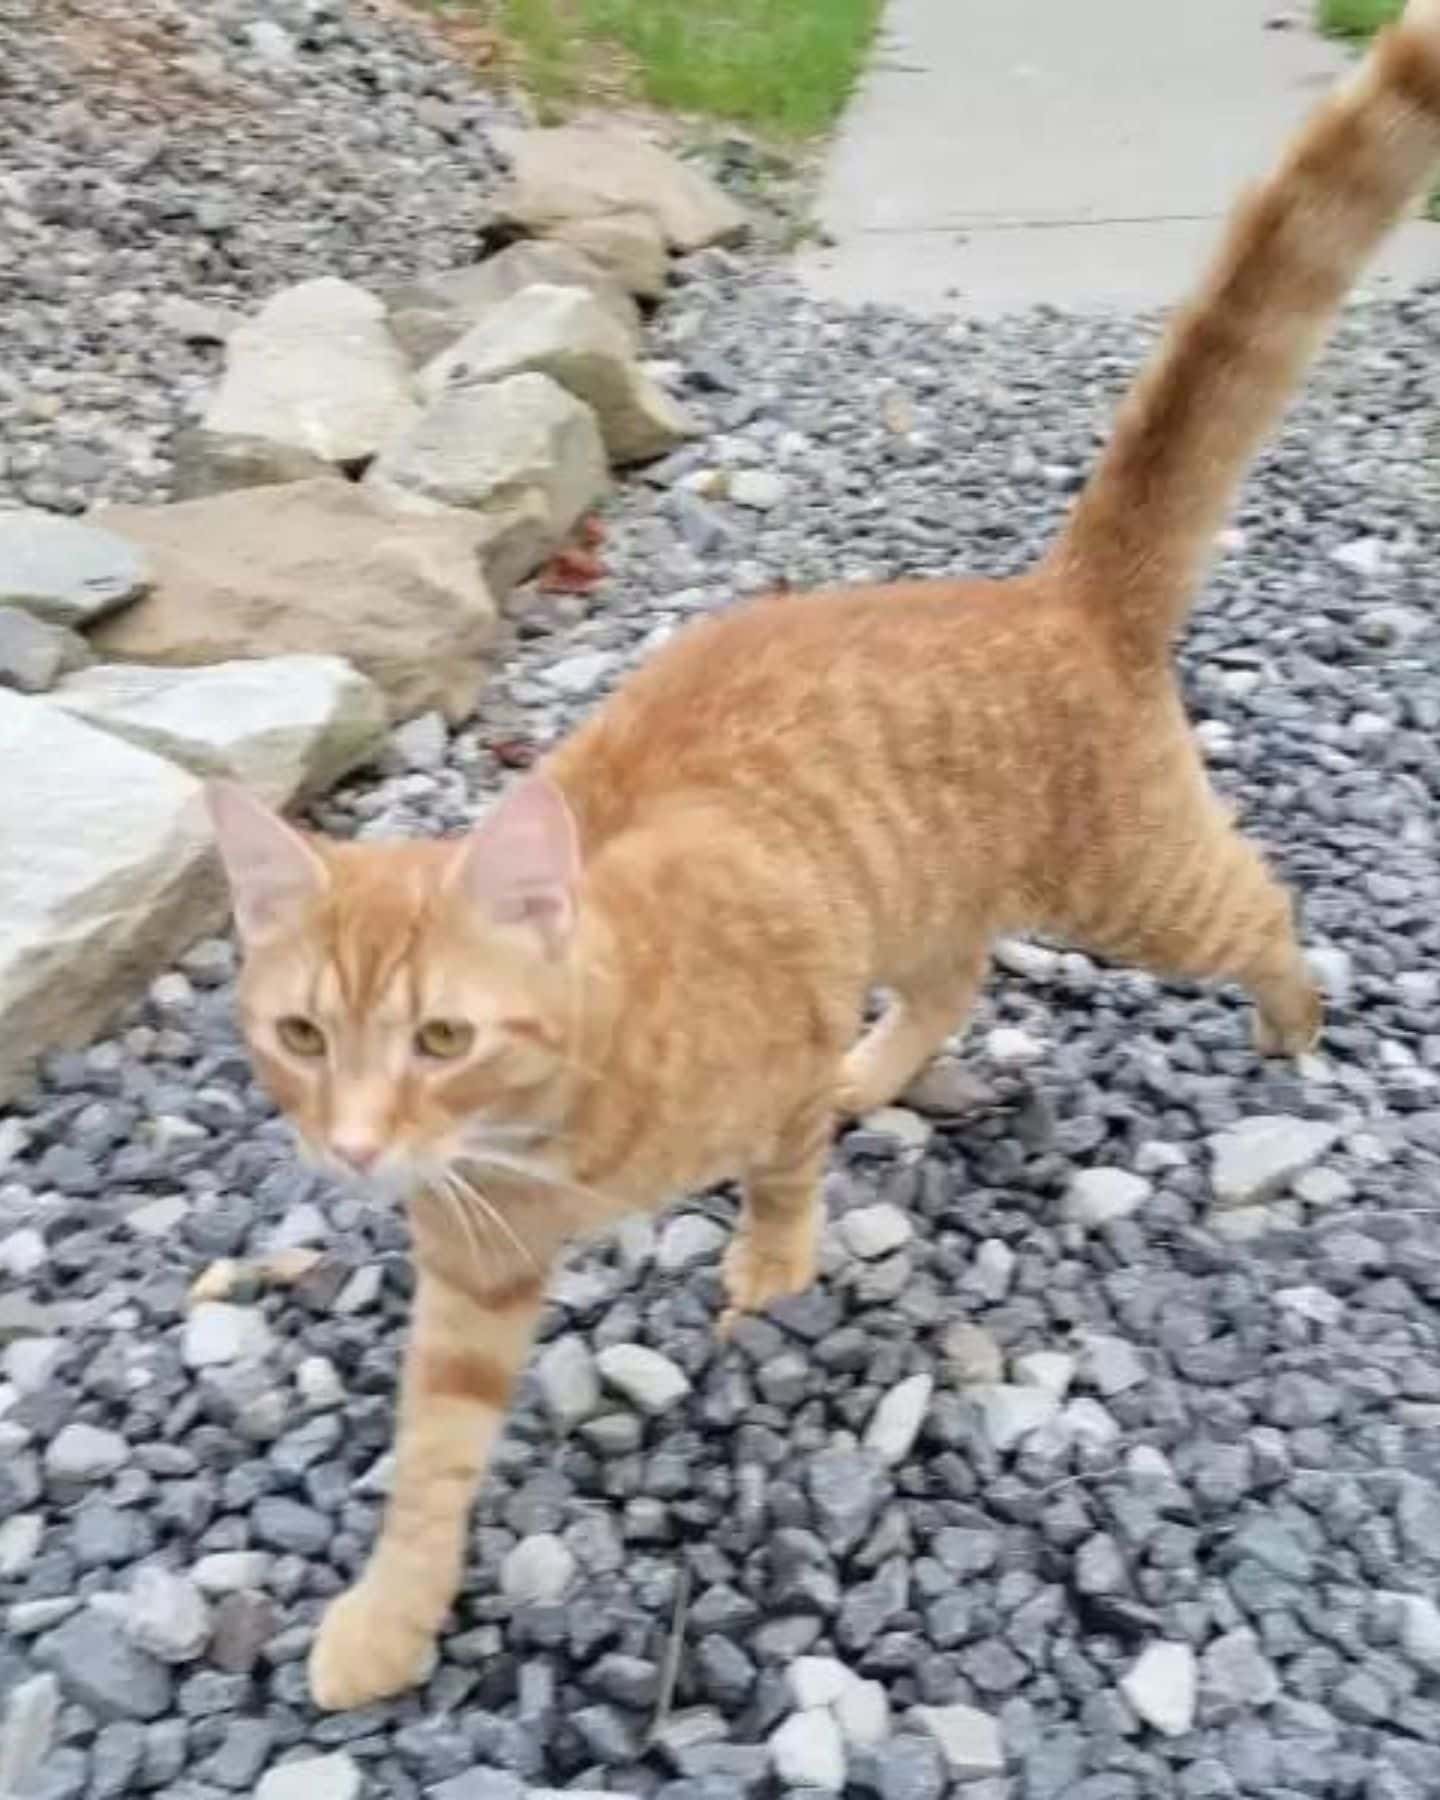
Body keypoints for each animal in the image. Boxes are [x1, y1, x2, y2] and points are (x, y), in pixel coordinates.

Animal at [205, 0, 1440, 1713]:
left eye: (440, 1037)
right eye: (303, 1037)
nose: (353, 1150)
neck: (562, 1123)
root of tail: (1051, 596)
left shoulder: (761, 1057)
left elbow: (785, 1181)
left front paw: (772, 1275)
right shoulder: (471, 1267)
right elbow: (432, 1462)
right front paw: (393, 1618)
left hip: (1133, 887)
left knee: (1258, 900)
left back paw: (1292, 1018)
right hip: (925, 896)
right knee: (956, 978)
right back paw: (893, 1063)